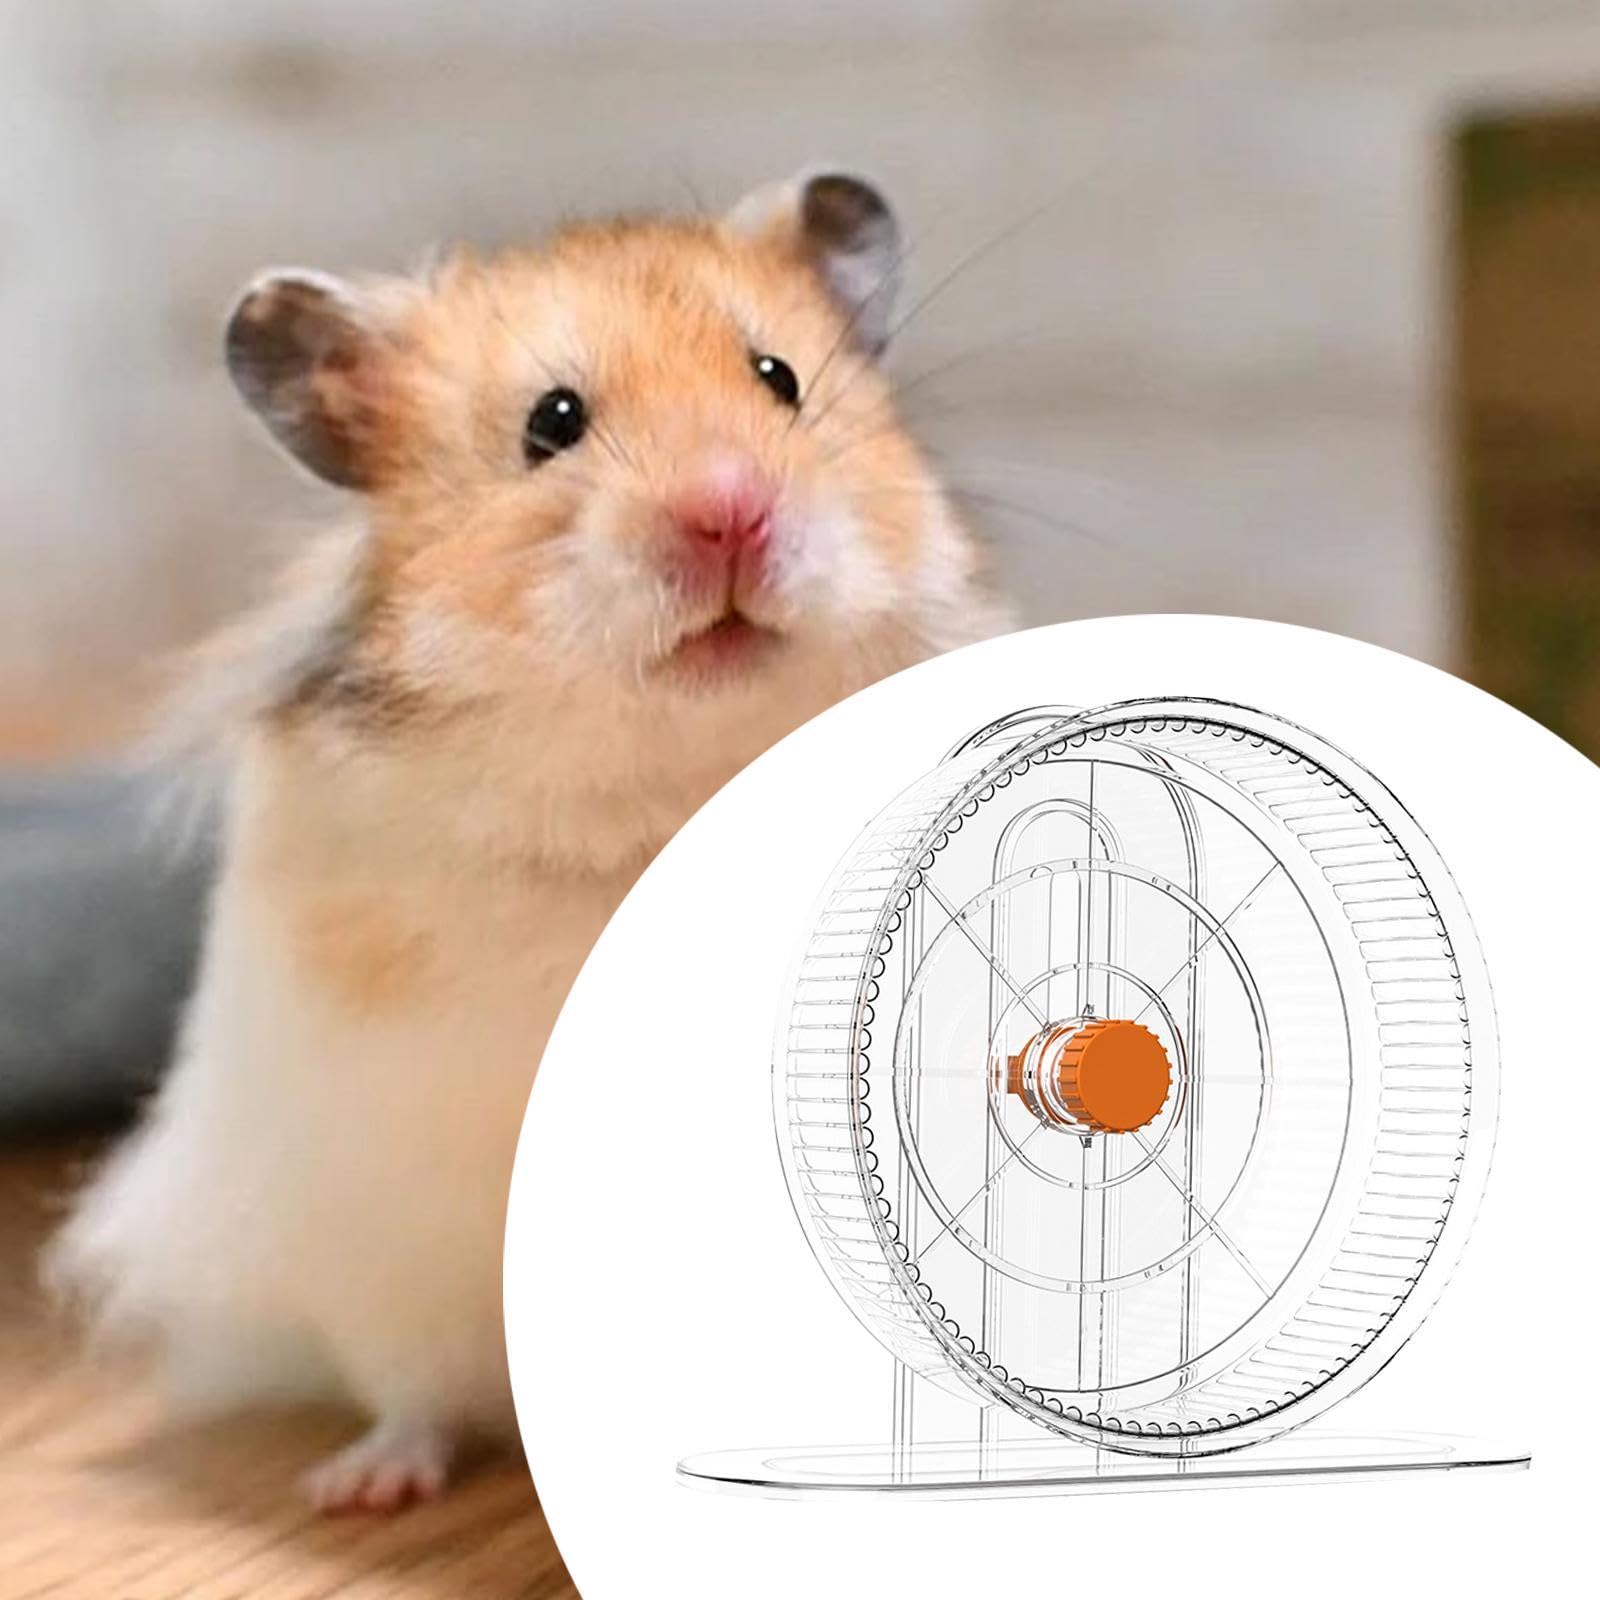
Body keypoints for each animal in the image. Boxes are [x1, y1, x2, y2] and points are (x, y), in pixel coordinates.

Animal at [46, 171, 1011, 1513]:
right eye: (552, 424)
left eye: (778, 378)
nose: (732, 513)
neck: (671, 759)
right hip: (373, 1255)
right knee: (416, 1394)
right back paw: (363, 1487)